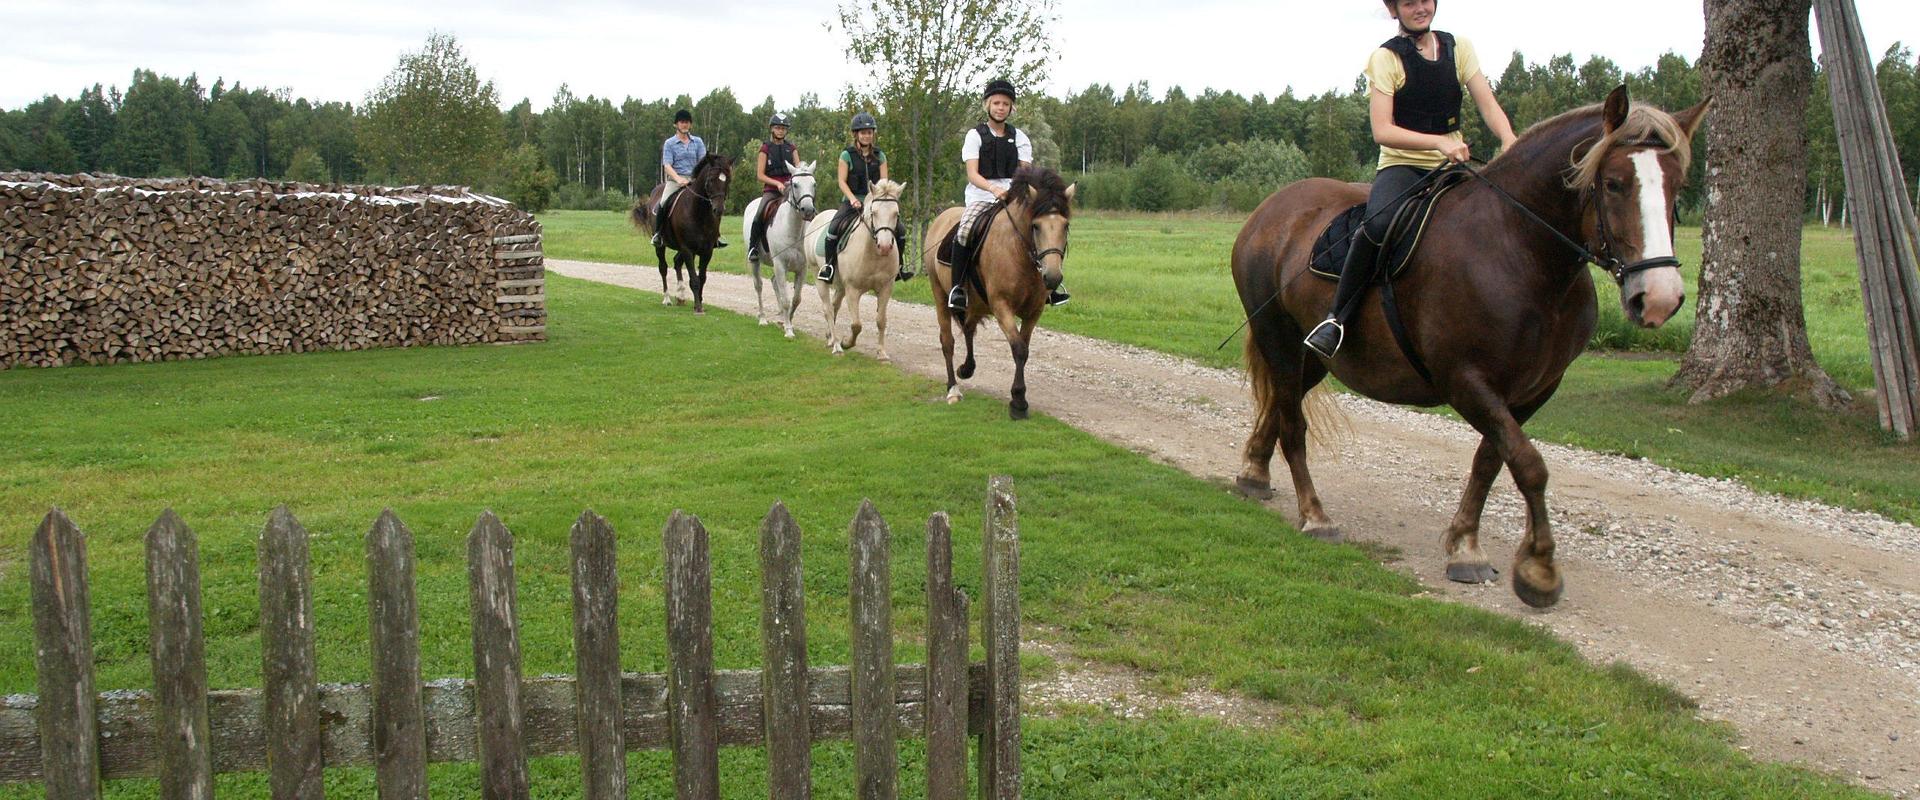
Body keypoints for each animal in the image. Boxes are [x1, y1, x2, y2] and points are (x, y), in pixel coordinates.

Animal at [629, 151, 733, 312]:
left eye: (727, 180)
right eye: (710, 180)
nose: (719, 209)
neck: (699, 213)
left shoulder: (707, 250)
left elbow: (702, 278)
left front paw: (700, 302)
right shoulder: (687, 249)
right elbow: (694, 279)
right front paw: (698, 307)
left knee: (677, 262)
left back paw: (681, 296)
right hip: (662, 246)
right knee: (663, 268)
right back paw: (667, 299)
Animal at [741, 162, 817, 337]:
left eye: (814, 184)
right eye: (795, 185)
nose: (808, 210)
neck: (793, 230)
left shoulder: (802, 268)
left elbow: (796, 299)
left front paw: (786, 321)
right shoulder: (780, 264)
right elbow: (786, 299)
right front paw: (788, 330)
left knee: (774, 283)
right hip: (756, 262)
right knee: (759, 286)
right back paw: (762, 319)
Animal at [802, 179, 906, 360]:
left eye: (896, 214)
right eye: (874, 213)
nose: (885, 247)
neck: (872, 254)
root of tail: (818, 218)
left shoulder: (886, 288)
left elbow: (881, 320)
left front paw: (882, 353)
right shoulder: (853, 289)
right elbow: (856, 325)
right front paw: (846, 343)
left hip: (840, 286)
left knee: (834, 306)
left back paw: (831, 338)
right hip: (819, 276)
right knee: (828, 309)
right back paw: (837, 346)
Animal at [921, 165, 1075, 420]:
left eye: (1066, 226)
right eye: (1036, 226)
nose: (1053, 277)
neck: (1020, 253)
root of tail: (943, 217)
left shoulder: (1034, 312)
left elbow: (1025, 349)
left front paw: (1018, 399)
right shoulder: (1002, 306)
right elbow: (1019, 349)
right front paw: (1019, 402)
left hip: (974, 303)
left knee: (968, 329)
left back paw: (967, 369)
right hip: (940, 295)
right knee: (948, 341)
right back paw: (953, 389)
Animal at [1228, 85, 1712, 606]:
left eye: (1677, 185)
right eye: (1615, 183)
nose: (1659, 298)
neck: (1520, 251)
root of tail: (1270, 210)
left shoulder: (1531, 391)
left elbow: (1491, 462)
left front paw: (1465, 546)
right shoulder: (1467, 382)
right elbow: (1529, 465)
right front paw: (1539, 569)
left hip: (1312, 356)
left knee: (1282, 403)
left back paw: (1254, 473)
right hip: (1278, 338)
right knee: (1293, 422)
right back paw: (1314, 515)